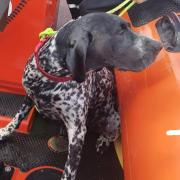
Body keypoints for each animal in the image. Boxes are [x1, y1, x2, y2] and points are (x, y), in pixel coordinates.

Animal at [0, 13, 162, 180]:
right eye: (120, 32)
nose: (159, 45)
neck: (50, 77)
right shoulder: (29, 96)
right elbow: (17, 117)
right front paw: (5, 131)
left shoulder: (77, 132)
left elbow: (69, 170)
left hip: (113, 119)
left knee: (112, 134)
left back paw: (103, 141)